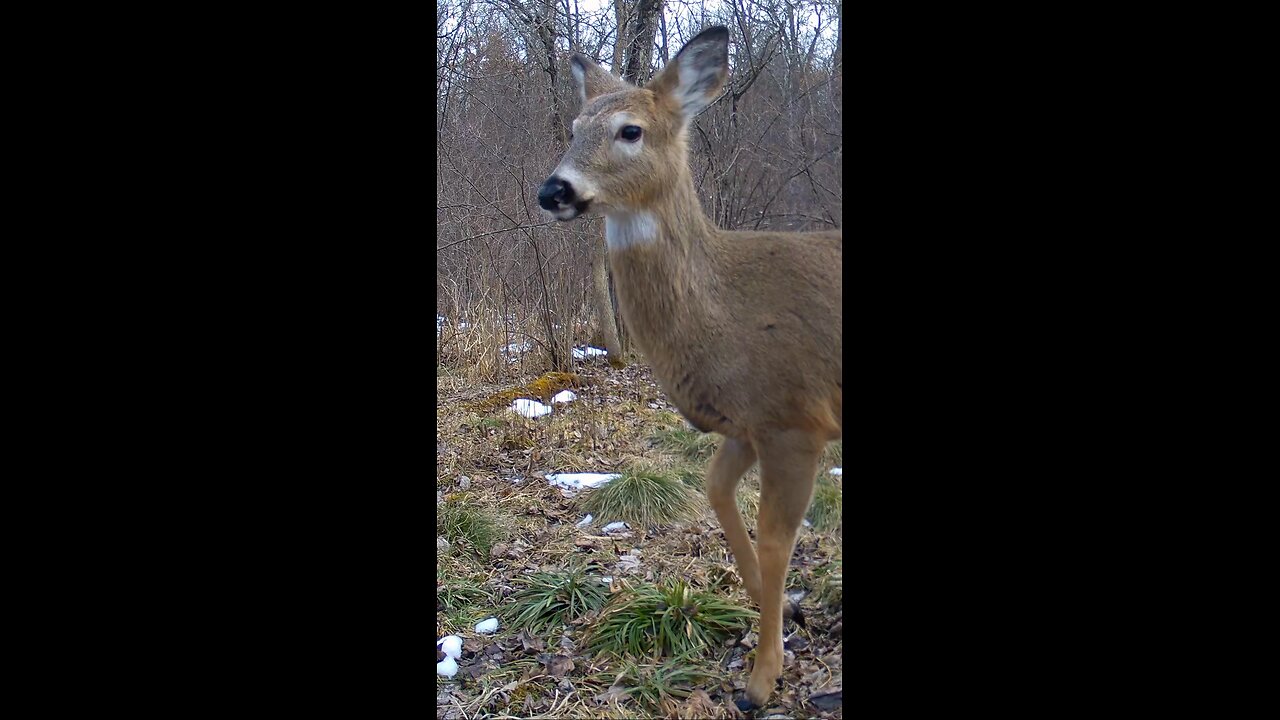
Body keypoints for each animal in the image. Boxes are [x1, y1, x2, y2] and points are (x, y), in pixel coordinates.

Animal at [537, 26, 844, 707]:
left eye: (630, 130)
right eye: (572, 126)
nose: (553, 191)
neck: (727, 311)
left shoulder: (796, 419)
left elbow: (779, 540)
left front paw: (761, 680)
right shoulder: (744, 424)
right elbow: (714, 490)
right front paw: (783, 608)